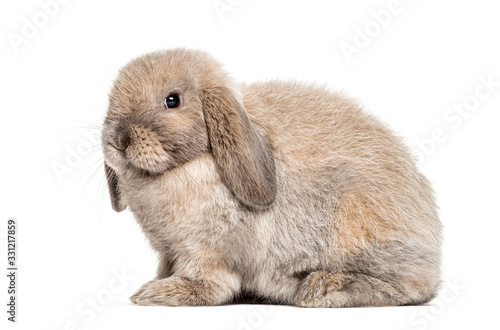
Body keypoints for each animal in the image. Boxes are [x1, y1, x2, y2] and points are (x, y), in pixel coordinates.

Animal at [100, 47, 442, 308]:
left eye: (172, 100)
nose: (118, 140)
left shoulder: (208, 250)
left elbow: (207, 279)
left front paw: (162, 293)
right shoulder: (168, 250)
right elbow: (165, 266)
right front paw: (154, 285)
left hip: (359, 221)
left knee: (411, 288)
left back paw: (323, 288)